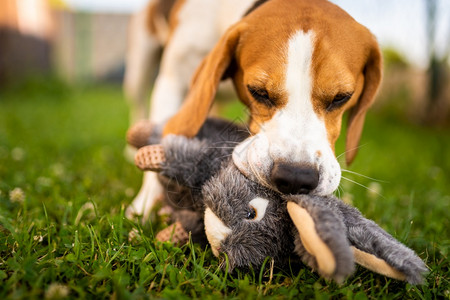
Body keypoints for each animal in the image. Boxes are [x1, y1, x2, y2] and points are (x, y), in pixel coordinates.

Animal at [125, 0, 382, 220]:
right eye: (259, 92)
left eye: (341, 97)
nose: (295, 177)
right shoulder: (172, 81)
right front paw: (145, 206)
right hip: (139, 69)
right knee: (138, 104)